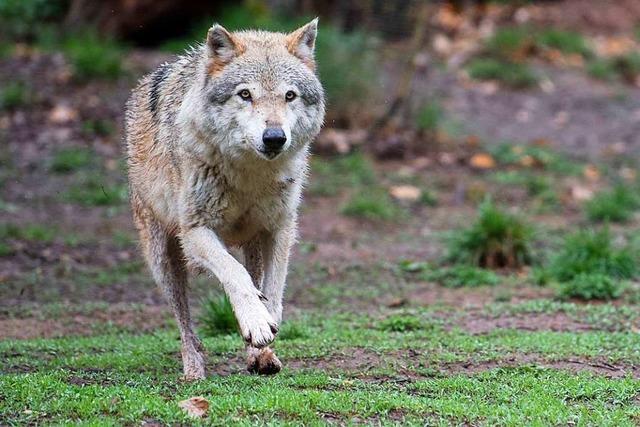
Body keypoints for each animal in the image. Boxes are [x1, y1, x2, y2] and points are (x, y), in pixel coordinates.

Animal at [125, 20, 324, 382]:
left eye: (289, 95)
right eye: (245, 94)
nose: (274, 137)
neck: (250, 175)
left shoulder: (280, 228)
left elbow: (274, 289)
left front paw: (265, 328)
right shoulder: (195, 232)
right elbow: (234, 274)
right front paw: (255, 321)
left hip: (252, 243)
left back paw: (261, 357)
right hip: (163, 260)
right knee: (185, 324)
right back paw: (193, 370)